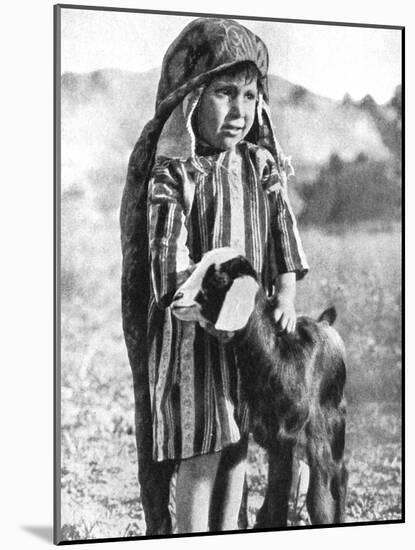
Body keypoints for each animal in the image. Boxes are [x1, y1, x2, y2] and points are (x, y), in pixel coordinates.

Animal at [171, 248, 348, 528]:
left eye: (218, 278)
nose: (177, 298)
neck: (280, 358)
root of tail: (325, 323)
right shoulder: (276, 439)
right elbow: (276, 494)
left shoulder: (316, 436)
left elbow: (320, 499)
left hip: (335, 420)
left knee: (339, 475)